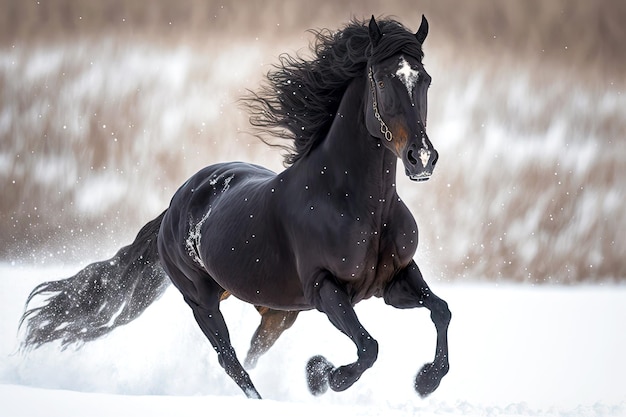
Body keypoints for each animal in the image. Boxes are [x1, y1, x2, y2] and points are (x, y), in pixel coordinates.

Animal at [19, 15, 448, 400]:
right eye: (383, 80)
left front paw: (426, 382)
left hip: (277, 311)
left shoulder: (394, 280)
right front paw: (322, 375)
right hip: (202, 300)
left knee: (251, 351)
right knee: (230, 360)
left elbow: (440, 310)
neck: (358, 205)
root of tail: (173, 208)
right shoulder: (324, 288)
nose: (422, 158)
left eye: (425, 79)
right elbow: (368, 347)